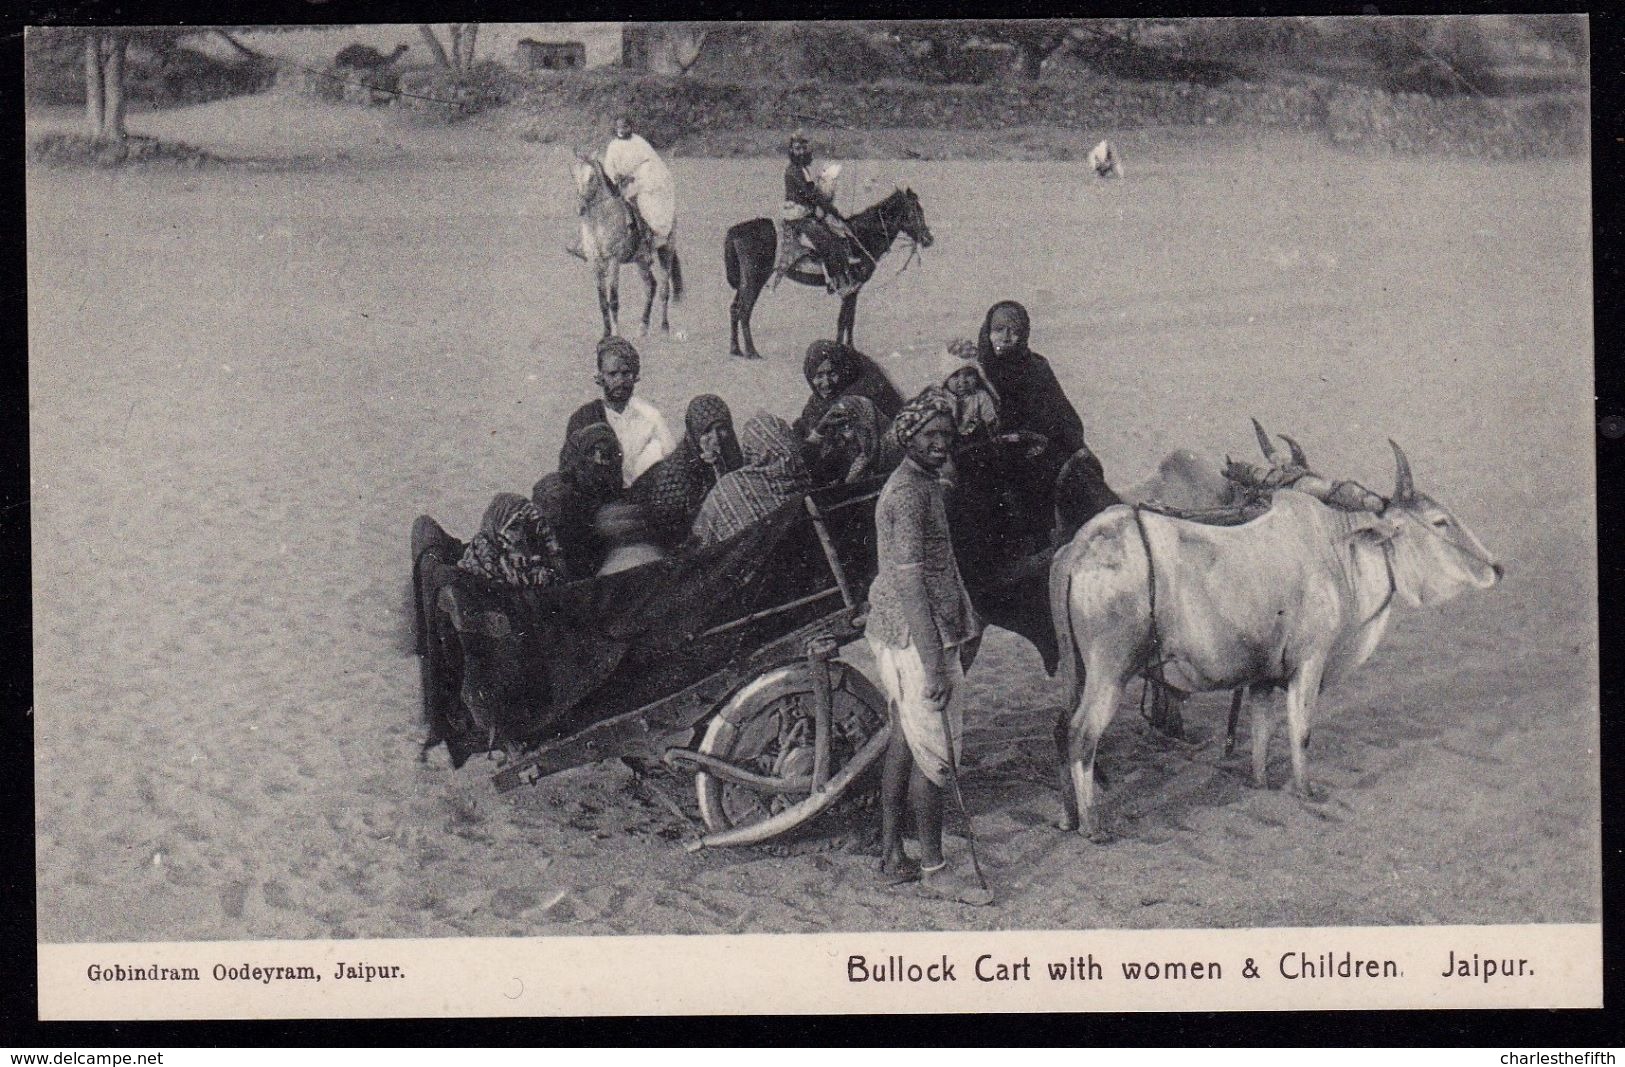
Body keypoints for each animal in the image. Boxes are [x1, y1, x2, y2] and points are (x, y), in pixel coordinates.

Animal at [572, 151, 685, 337]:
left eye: (592, 177)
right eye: (574, 176)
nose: (580, 208)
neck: (600, 223)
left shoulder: (614, 261)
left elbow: (613, 299)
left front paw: (616, 334)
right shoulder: (595, 264)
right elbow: (602, 301)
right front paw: (606, 334)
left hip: (666, 252)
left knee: (664, 289)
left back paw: (664, 327)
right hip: (641, 260)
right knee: (650, 286)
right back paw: (643, 326)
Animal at [728, 185, 942, 360]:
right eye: (914, 212)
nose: (928, 239)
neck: (859, 238)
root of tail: (736, 230)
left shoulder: (853, 288)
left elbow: (849, 320)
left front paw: (849, 348)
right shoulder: (850, 286)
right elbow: (844, 320)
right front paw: (842, 350)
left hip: (746, 280)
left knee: (734, 308)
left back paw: (736, 350)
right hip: (755, 278)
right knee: (744, 310)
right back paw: (752, 352)